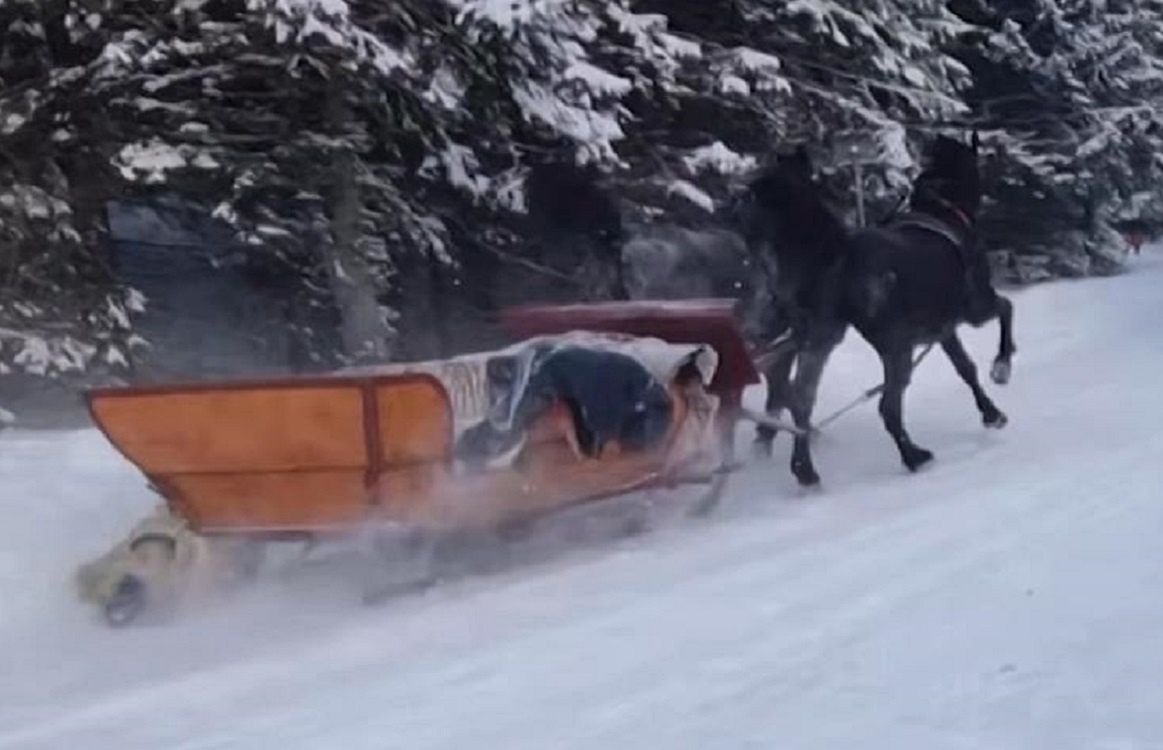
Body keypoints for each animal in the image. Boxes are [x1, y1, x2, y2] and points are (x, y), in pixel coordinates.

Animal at [735, 136, 1018, 486]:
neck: (943, 209)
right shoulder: (975, 308)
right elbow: (1007, 309)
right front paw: (1002, 367)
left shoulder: (943, 329)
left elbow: (966, 368)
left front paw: (991, 413)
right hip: (895, 346)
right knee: (888, 406)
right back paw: (914, 456)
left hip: (819, 339)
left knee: (801, 400)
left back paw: (805, 470)